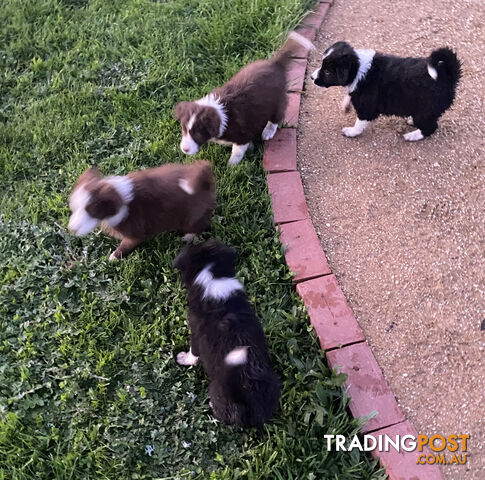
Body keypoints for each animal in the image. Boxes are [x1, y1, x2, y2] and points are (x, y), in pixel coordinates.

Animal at [67, 160, 215, 258]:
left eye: (91, 212)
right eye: (74, 208)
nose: (71, 229)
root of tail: (204, 175)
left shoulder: (134, 232)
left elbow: (126, 245)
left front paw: (114, 257)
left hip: (191, 216)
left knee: (201, 225)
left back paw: (187, 237)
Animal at [174, 31, 314, 165]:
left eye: (197, 134)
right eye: (183, 129)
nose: (184, 150)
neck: (221, 113)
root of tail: (275, 63)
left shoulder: (242, 134)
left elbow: (237, 151)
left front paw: (232, 165)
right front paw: (250, 149)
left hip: (277, 100)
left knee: (276, 117)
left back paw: (268, 131)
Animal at [174, 240, 280, 428]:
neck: (212, 276)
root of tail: (245, 396)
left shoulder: (195, 333)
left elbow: (193, 352)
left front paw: (184, 359)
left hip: (217, 390)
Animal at [310, 41, 462, 141]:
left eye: (328, 72)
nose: (311, 77)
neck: (359, 69)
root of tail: (448, 77)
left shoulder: (367, 108)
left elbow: (359, 123)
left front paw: (351, 132)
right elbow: (350, 94)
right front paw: (346, 104)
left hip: (425, 110)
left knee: (431, 127)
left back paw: (411, 136)